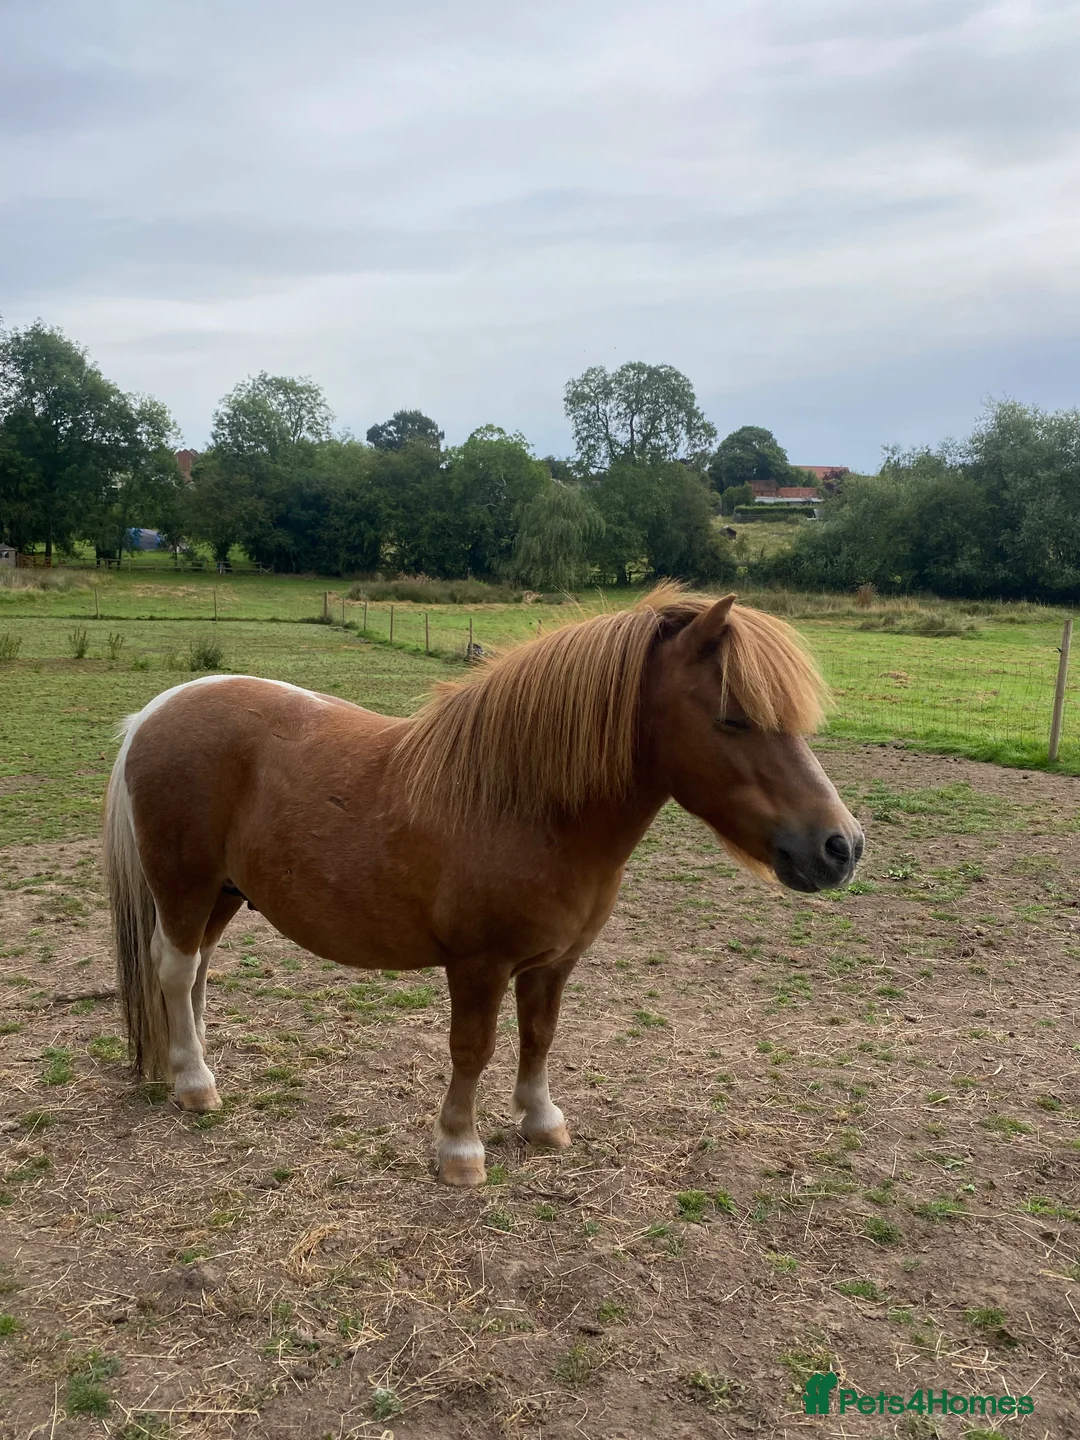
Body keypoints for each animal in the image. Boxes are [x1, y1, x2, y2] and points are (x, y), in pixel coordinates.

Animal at [103, 586, 863, 1186]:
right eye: (733, 718)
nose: (842, 847)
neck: (530, 808)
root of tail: (156, 712)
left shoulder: (554, 963)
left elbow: (540, 1036)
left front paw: (541, 1121)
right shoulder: (478, 965)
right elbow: (474, 1048)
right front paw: (460, 1150)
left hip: (224, 894)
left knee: (196, 972)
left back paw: (192, 1064)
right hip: (185, 886)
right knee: (174, 969)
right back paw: (196, 1084)